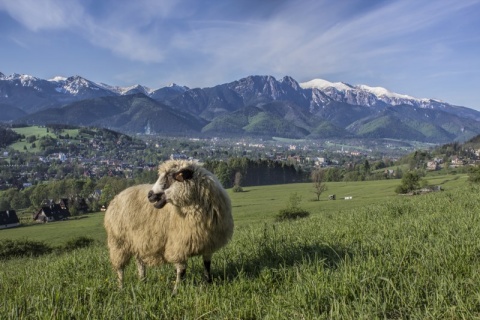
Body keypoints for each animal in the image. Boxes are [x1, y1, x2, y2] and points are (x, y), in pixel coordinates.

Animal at [104, 159, 233, 294]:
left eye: (170, 176)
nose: (150, 195)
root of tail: (117, 196)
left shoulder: (208, 244)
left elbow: (207, 265)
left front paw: (208, 282)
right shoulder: (178, 245)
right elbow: (181, 270)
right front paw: (176, 290)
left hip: (139, 241)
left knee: (140, 263)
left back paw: (142, 281)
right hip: (118, 242)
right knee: (120, 269)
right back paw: (121, 287)